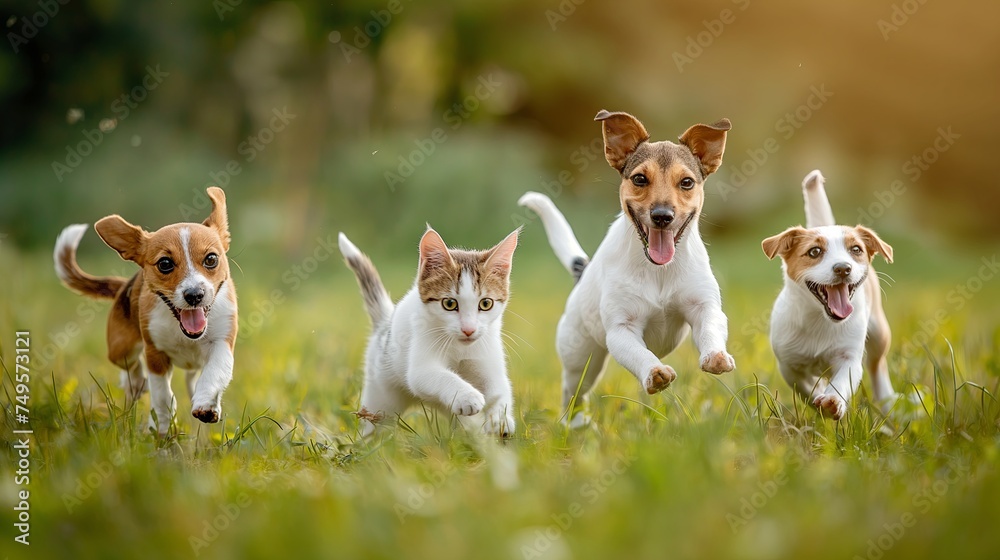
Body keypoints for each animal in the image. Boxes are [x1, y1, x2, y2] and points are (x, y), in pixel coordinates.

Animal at [56, 188, 238, 438]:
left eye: (211, 259)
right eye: (165, 264)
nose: (194, 295)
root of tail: (125, 285)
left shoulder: (222, 342)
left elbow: (213, 372)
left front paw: (206, 404)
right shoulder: (155, 353)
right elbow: (161, 395)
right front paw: (161, 425)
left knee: (193, 375)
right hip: (120, 347)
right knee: (131, 366)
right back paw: (135, 383)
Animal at [340, 226, 520, 438]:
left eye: (486, 304)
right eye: (449, 304)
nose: (468, 329)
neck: (460, 348)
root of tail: (385, 323)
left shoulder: (487, 355)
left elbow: (500, 388)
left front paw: (500, 419)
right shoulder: (420, 366)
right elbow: (437, 375)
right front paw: (467, 396)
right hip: (380, 395)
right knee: (375, 424)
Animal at [520, 108, 740, 424]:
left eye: (686, 182)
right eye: (639, 179)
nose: (662, 215)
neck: (658, 270)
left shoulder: (704, 307)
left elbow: (711, 326)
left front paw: (716, 357)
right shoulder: (621, 329)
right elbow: (640, 354)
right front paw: (655, 372)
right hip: (581, 358)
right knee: (573, 392)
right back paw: (575, 423)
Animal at [760, 171, 896, 420]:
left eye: (856, 249)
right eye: (814, 251)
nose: (843, 268)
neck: (819, 320)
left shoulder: (849, 357)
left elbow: (841, 381)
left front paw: (832, 400)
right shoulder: (788, 365)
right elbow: (804, 387)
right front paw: (818, 399)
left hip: (879, 334)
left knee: (877, 366)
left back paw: (887, 401)